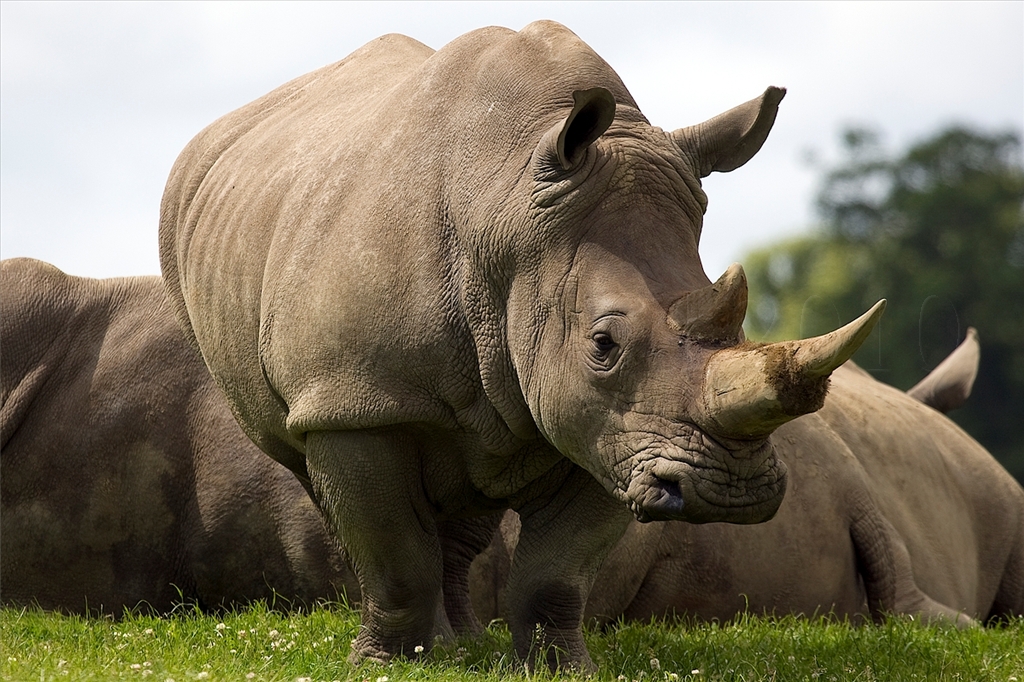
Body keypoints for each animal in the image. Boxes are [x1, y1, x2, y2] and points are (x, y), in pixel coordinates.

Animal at [158, 22, 884, 668]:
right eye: (603, 343)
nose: (733, 492)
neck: (508, 217)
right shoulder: (357, 397)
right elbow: (393, 550)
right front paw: (385, 663)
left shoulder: (614, 428)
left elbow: (556, 572)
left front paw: (560, 667)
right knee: (314, 470)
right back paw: (435, 646)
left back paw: (464, 644)